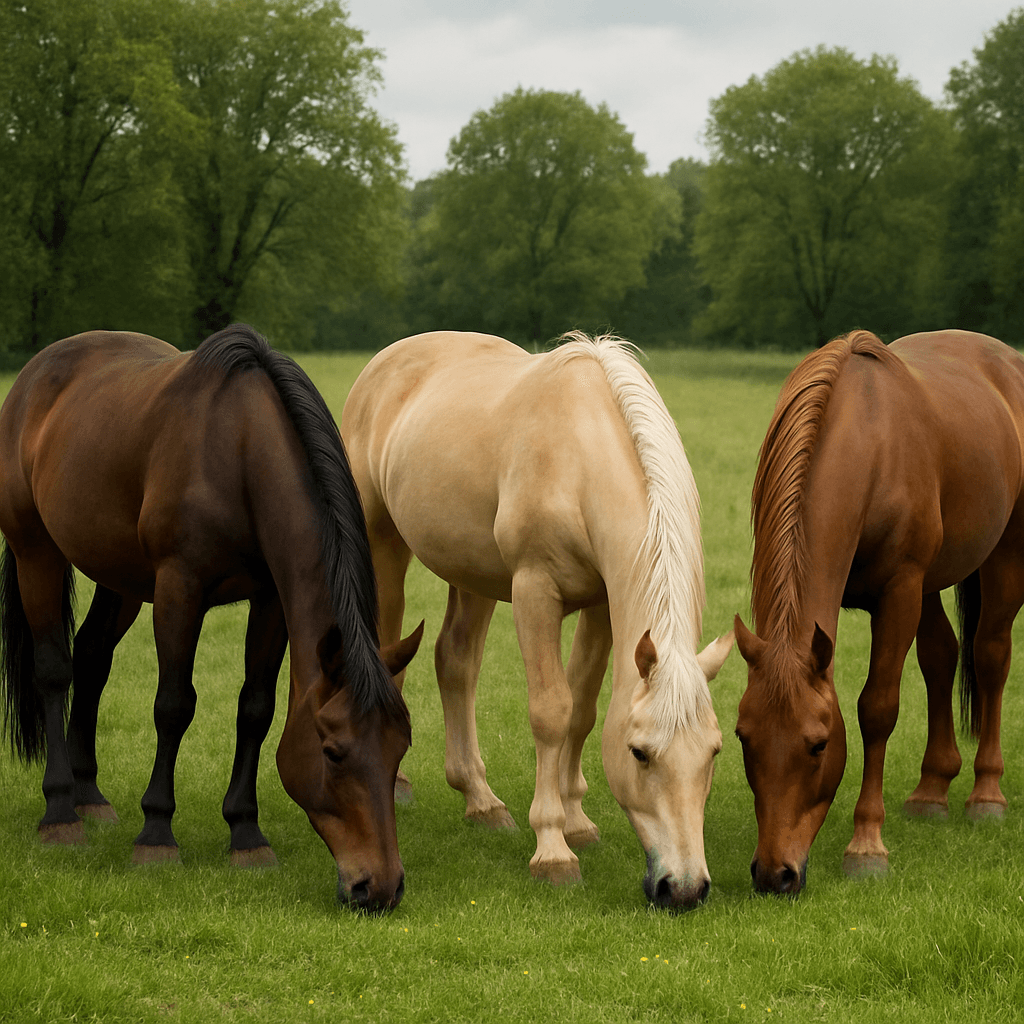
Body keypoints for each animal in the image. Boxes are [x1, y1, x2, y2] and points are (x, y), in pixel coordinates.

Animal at [0, 325, 421, 912]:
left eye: (399, 747)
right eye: (334, 753)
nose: (379, 887)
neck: (238, 451)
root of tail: (33, 377)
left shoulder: (270, 600)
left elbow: (256, 710)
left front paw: (246, 834)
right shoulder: (180, 588)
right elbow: (174, 705)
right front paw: (156, 834)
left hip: (120, 577)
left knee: (92, 658)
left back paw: (89, 796)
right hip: (35, 551)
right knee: (54, 669)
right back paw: (61, 812)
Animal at [341, 330, 733, 911]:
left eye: (713, 752)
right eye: (639, 754)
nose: (683, 888)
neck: (579, 455)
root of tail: (383, 362)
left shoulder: (601, 605)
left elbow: (583, 710)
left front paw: (576, 820)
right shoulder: (534, 593)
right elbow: (551, 710)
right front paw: (552, 848)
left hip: (472, 574)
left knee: (455, 663)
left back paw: (481, 800)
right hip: (384, 546)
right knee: (391, 655)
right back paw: (395, 785)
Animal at [734, 329, 1024, 895]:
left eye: (819, 745)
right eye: (742, 739)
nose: (775, 874)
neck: (868, 444)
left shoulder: (899, 590)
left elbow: (878, 708)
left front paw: (866, 845)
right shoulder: (911, 587)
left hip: (1003, 556)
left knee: (990, 655)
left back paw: (986, 793)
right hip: (931, 584)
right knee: (942, 656)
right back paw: (933, 787)